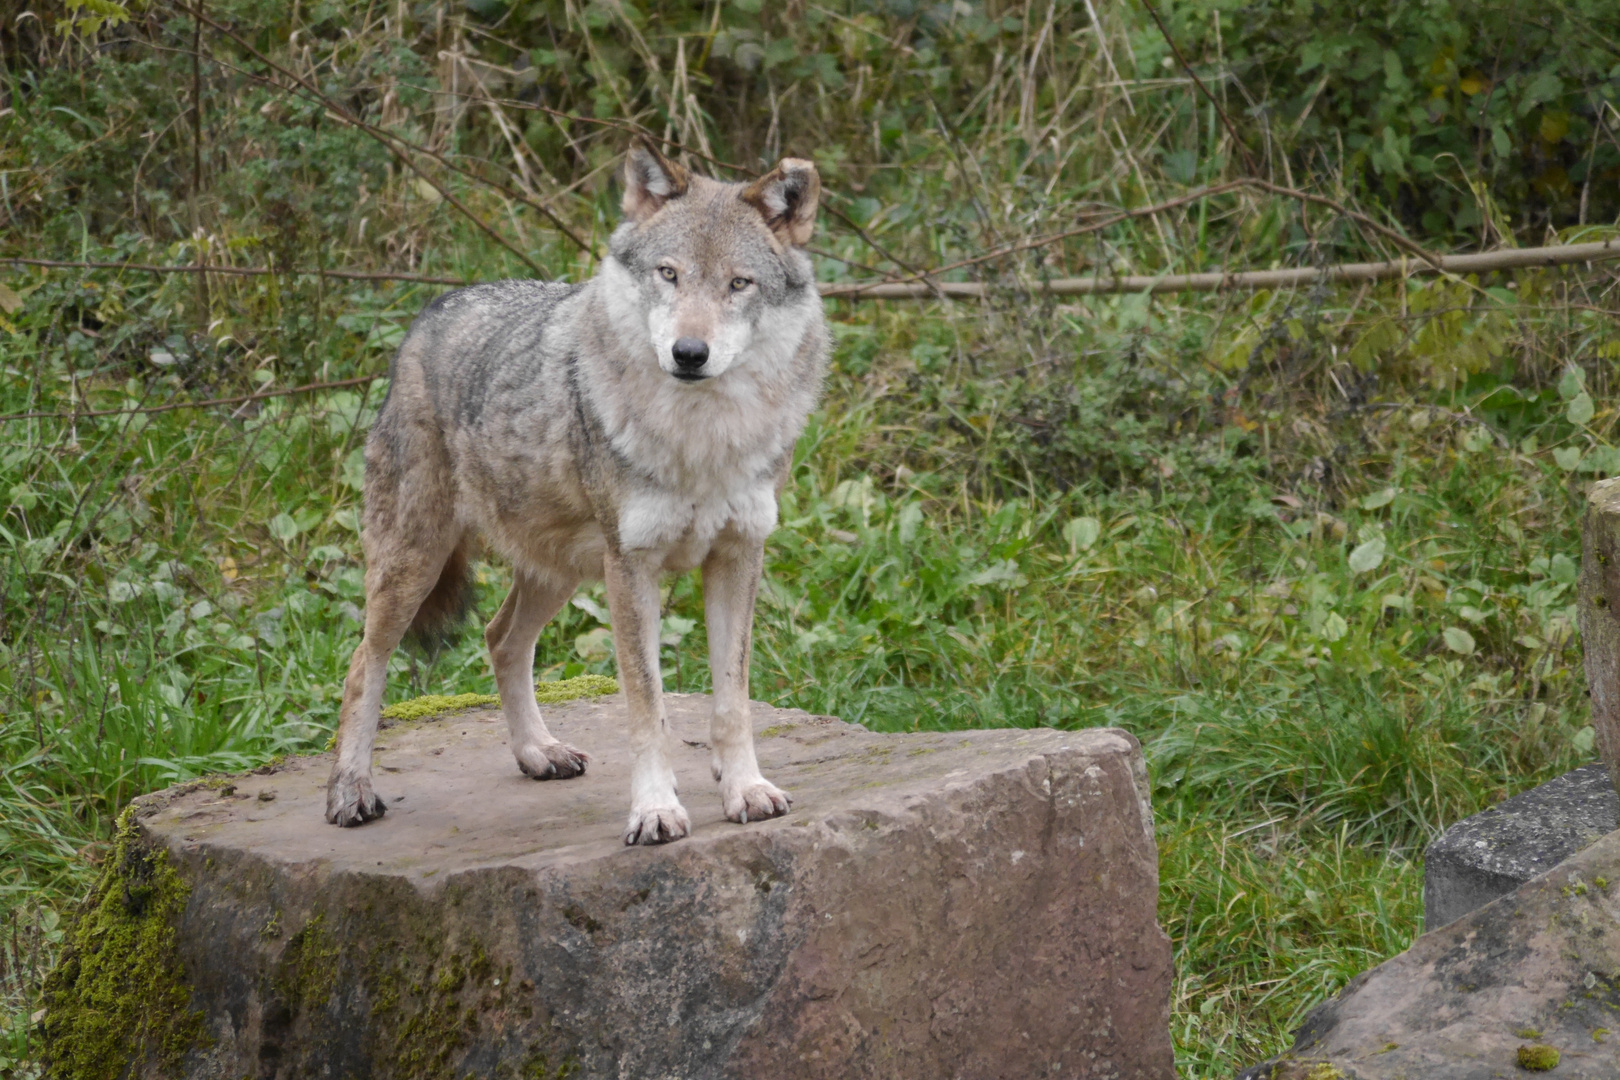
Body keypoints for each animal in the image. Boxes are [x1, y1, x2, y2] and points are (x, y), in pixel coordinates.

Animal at [328, 139, 835, 841]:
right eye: (668, 274)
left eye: (739, 283)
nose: (689, 352)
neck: (700, 440)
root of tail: (428, 314)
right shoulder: (632, 567)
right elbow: (648, 707)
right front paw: (656, 809)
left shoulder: (739, 555)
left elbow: (731, 701)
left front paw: (746, 790)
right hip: (416, 566)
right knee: (361, 665)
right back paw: (351, 791)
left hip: (559, 570)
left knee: (500, 638)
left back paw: (538, 753)